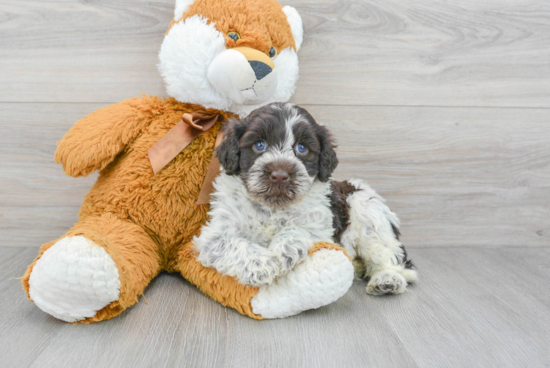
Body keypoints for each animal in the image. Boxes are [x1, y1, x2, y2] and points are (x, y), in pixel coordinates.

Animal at [194, 102, 418, 294]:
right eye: (259, 145)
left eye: (301, 148)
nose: (280, 176)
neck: (272, 208)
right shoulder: (214, 234)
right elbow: (231, 243)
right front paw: (261, 265)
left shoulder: (320, 227)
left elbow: (297, 229)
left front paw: (284, 251)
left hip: (367, 211)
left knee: (392, 258)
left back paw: (387, 280)